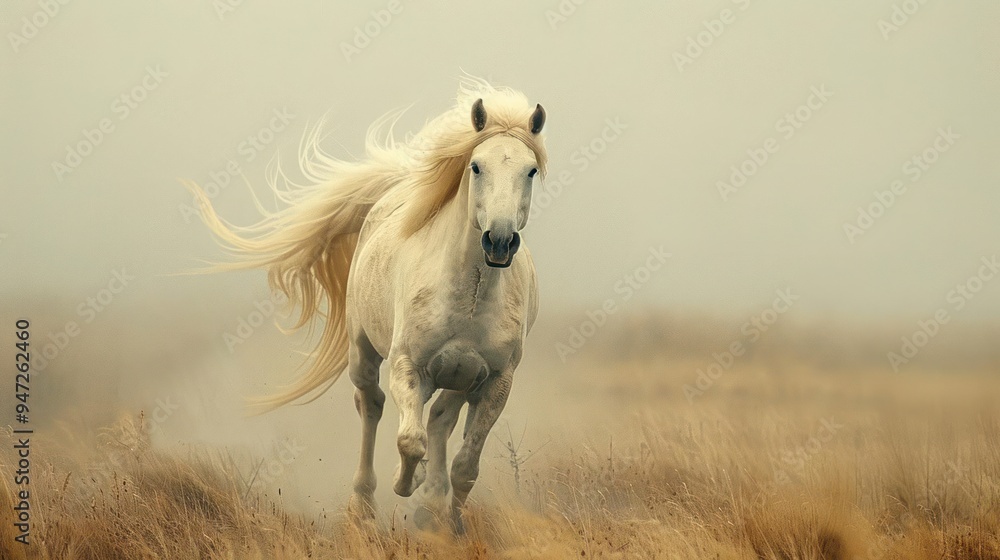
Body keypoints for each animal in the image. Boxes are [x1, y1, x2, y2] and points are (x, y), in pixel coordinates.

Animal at [186, 79, 548, 531]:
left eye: (530, 170)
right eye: (476, 166)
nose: (499, 240)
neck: (469, 299)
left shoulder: (495, 382)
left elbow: (465, 466)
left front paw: (448, 522)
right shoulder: (409, 367)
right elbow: (409, 441)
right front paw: (407, 482)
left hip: (461, 379)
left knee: (440, 418)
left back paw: (430, 503)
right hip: (363, 353)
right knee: (372, 406)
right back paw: (364, 505)